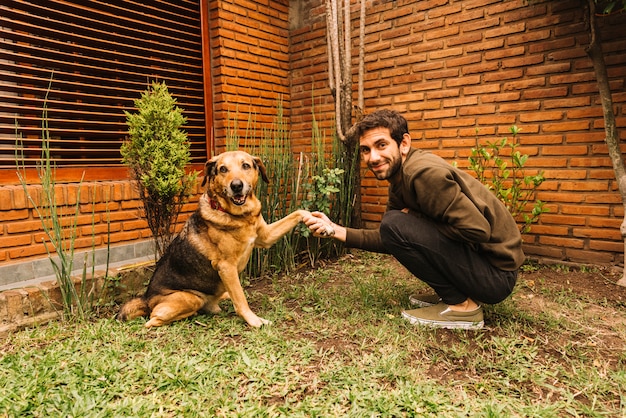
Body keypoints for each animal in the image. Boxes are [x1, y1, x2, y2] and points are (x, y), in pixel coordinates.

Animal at [116, 150, 308, 326]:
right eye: (223, 169)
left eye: (245, 165)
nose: (236, 186)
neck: (238, 216)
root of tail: (146, 299)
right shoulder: (226, 267)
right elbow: (241, 300)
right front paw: (254, 320)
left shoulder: (265, 237)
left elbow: (297, 213)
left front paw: (311, 217)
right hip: (190, 298)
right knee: (152, 320)